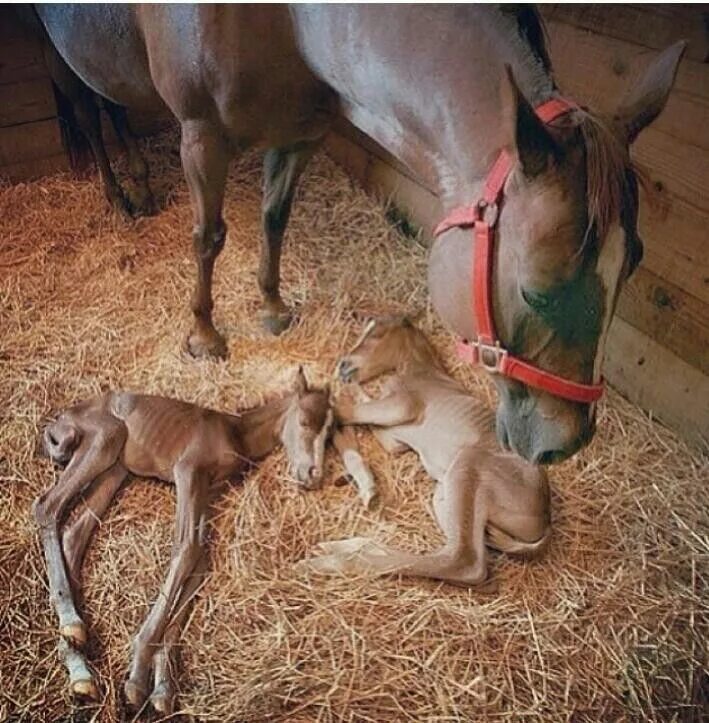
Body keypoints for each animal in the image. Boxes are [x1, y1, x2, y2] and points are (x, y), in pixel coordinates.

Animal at [31, 370, 334, 716]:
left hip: (116, 468)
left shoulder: (209, 491)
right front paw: (136, 681)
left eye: (330, 434)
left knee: (74, 533)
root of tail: (58, 420)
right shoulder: (188, 471)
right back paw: (73, 631)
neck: (236, 432)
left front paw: (162, 690)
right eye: (306, 422)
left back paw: (78, 662)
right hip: (105, 437)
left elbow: (200, 561)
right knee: (47, 506)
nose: (313, 476)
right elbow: (186, 549)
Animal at [36, 5, 684, 464]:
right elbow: (208, 236)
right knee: (87, 111)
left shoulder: (299, 133)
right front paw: (204, 334)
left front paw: (271, 307)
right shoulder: (201, 136)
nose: (563, 444)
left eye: (632, 264)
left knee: (110, 107)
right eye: (537, 292)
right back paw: (120, 198)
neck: (287, 18)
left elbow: (274, 216)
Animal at [302, 320, 552, 592]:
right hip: (446, 495)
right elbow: (364, 419)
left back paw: (329, 562)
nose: (343, 364)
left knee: (464, 561)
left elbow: (345, 411)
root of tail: (546, 516)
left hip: (468, 464)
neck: (419, 370)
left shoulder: (401, 405)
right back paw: (342, 546)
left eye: (376, 333)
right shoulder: (394, 438)